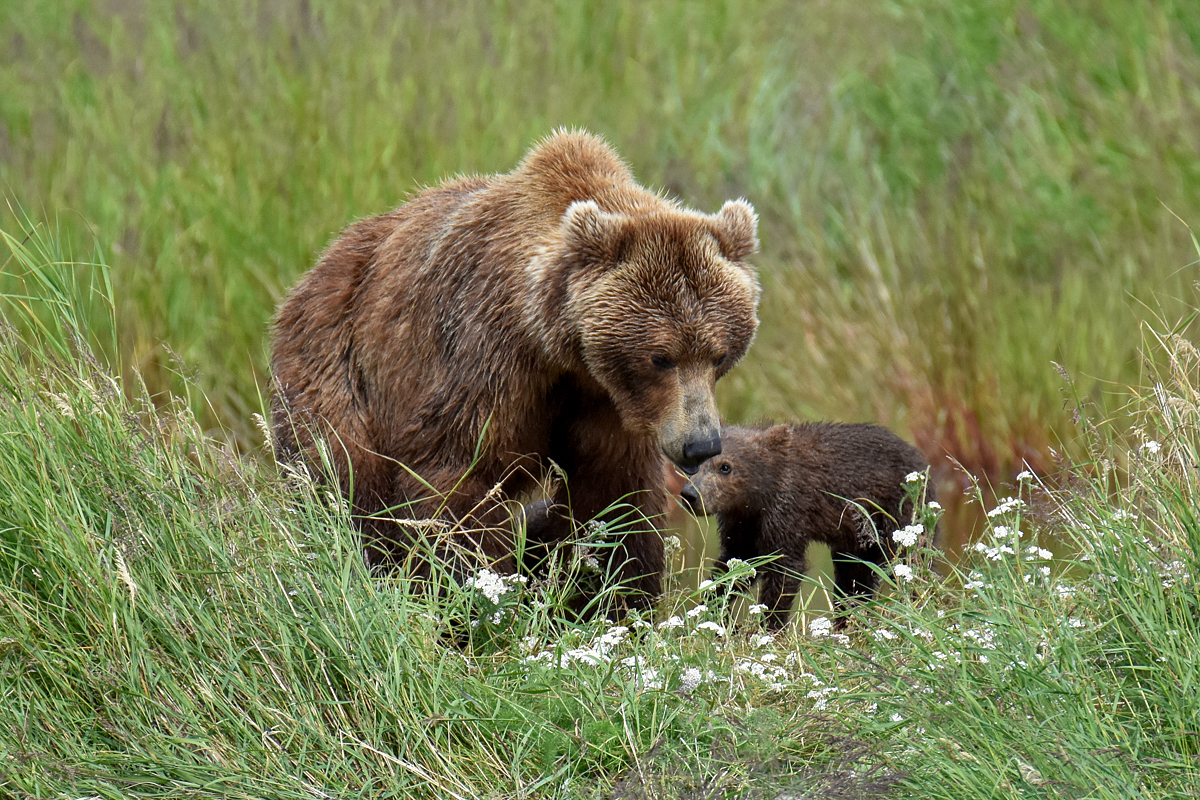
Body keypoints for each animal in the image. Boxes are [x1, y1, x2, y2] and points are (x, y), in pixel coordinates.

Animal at [272, 133, 758, 606]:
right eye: (661, 356)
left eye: (719, 354)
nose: (701, 444)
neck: (559, 349)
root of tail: (315, 271)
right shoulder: (485, 359)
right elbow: (459, 478)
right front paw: (470, 589)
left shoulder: (611, 404)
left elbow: (614, 498)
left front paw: (610, 595)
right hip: (337, 367)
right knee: (346, 475)